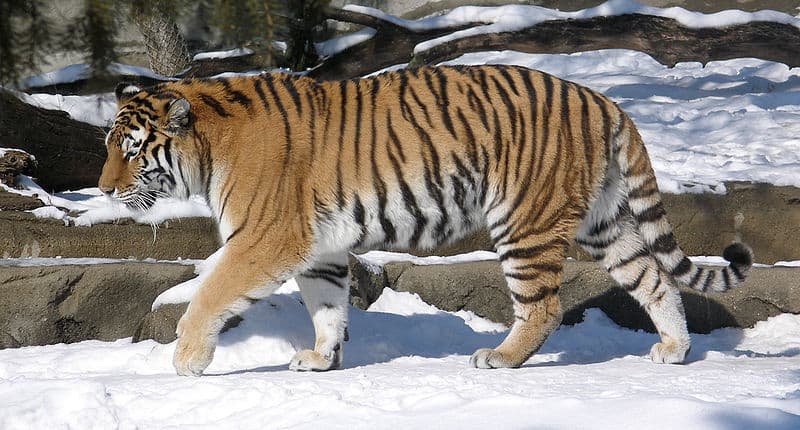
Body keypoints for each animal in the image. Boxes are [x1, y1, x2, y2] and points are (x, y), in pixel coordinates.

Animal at [98, 64, 752, 376]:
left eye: (129, 151)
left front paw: (187, 359)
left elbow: (209, 294)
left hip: (524, 219)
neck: (208, 147)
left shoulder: (264, 236)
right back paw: (674, 349)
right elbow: (327, 307)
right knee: (655, 278)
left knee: (543, 306)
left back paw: (501, 358)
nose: (102, 188)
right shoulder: (321, 247)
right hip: (604, 221)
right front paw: (322, 359)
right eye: (110, 149)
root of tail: (601, 98)